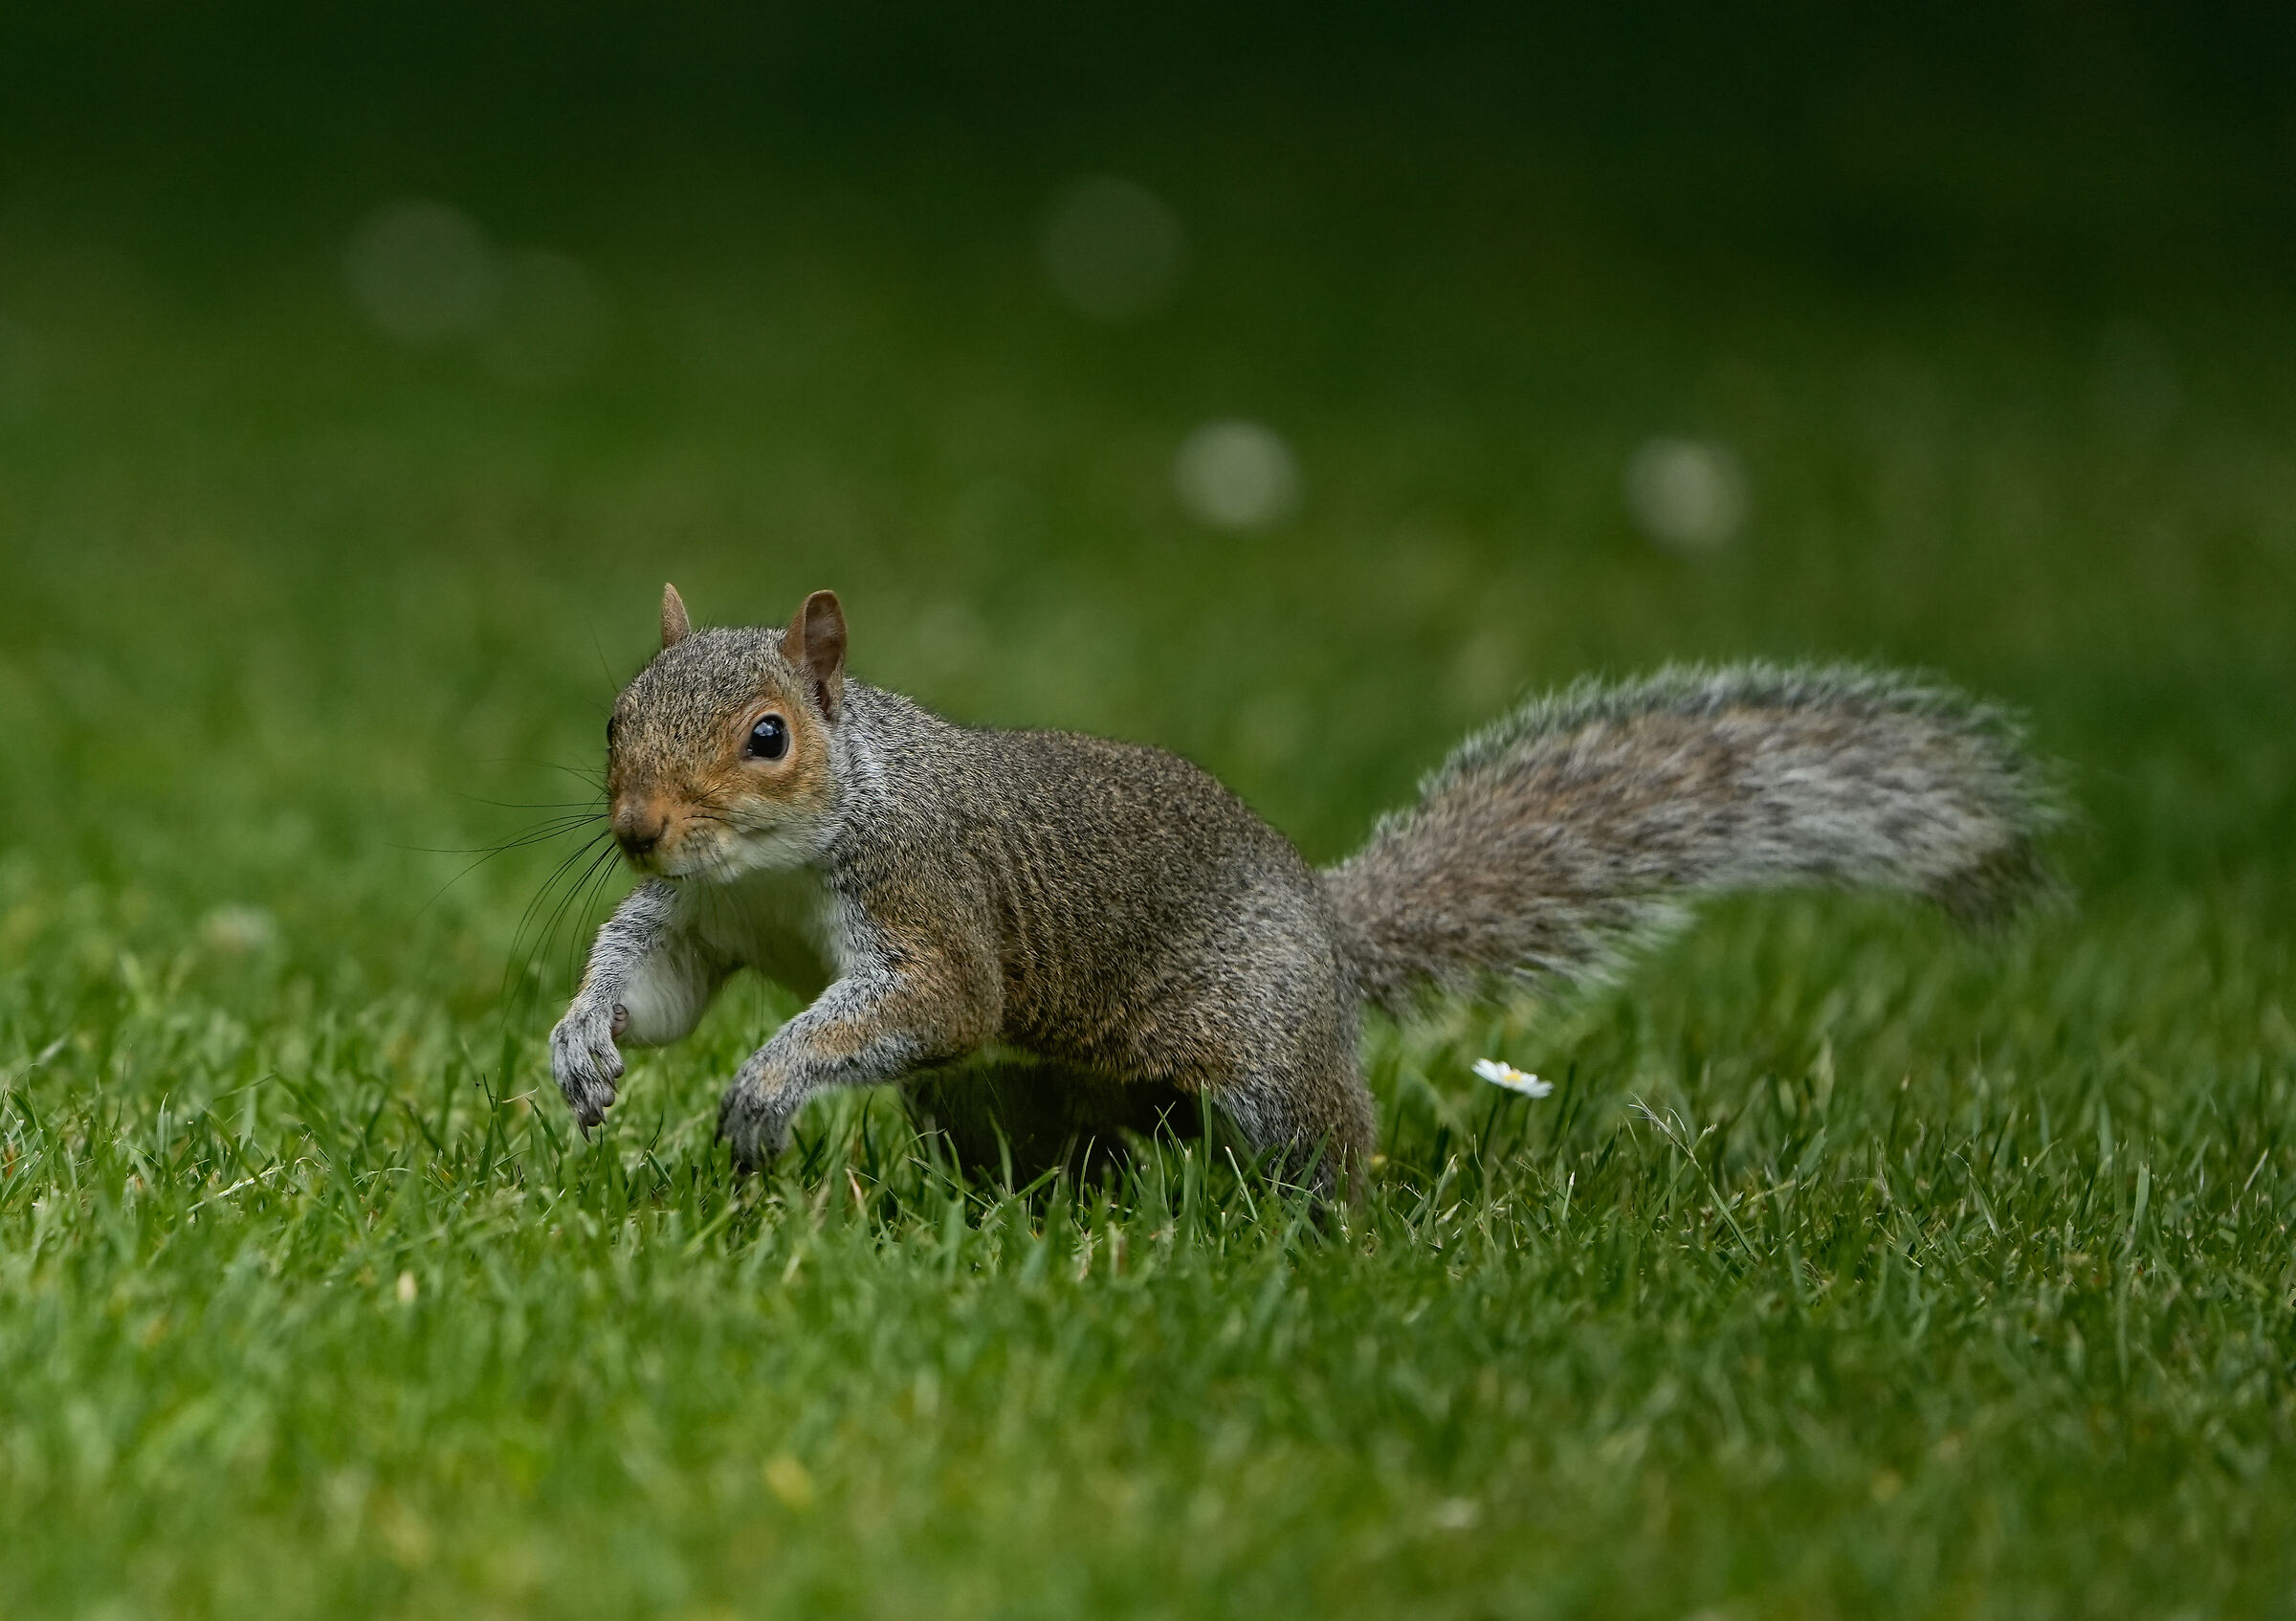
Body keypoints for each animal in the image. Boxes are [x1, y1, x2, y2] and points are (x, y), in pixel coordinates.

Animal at [551, 584, 2057, 1190]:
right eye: (614, 714)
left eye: (768, 737)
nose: (636, 830)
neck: (778, 866)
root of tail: (1329, 930)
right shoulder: (702, 917)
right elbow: (659, 994)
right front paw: (583, 1041)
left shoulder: (931, 905)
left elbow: (932, 998)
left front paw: (768, 1084)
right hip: (1019, 1095)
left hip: (1267, 1047)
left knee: (1325, 1142)